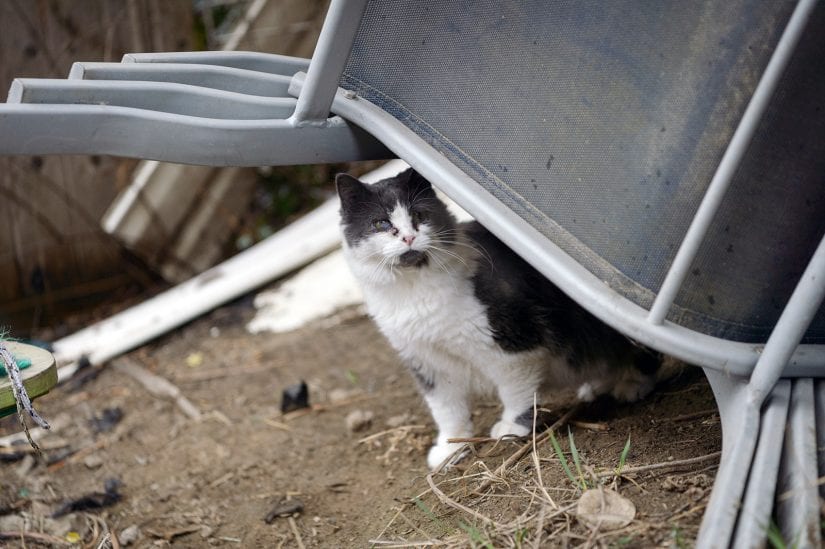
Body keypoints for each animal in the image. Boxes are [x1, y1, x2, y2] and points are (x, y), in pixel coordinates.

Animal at [334, 169, 656, 468]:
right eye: (380, 223)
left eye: (419, 215)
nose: (409, 237)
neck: (414, 292)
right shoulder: (427, 363)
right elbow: (446, 410)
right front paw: (451, 448)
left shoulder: (513, 345)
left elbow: (516, 392)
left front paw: (512, 428)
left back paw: (631, 385)